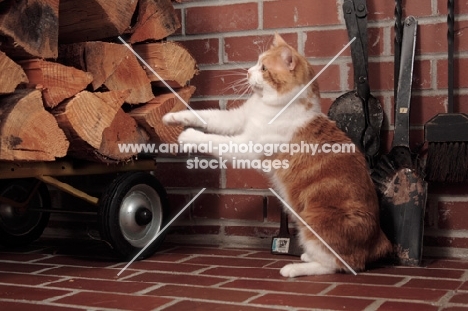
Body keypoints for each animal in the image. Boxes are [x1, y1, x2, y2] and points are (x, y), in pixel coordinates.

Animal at [163, 34, 390, 278]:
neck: (267, 104)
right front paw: (172, 117)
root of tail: (378, 239)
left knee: (341, 264)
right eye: (257, 63)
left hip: (312, 222)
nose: (248, 72)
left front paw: (188, 136)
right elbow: (207, 116)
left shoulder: (246, 146)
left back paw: (294, 268)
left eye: (263, 68)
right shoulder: (236, 119)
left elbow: (214, 140)